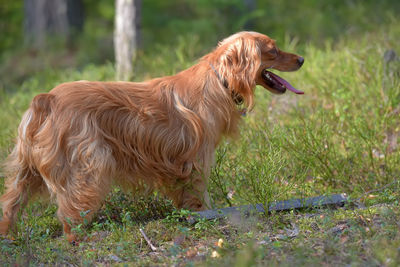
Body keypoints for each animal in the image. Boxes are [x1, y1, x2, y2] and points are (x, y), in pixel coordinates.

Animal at [0, 31, 304, 243]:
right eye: (273, 50)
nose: (301, 59)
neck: (219, 80)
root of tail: (47, 99)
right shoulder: (195, 161)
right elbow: (199, 197)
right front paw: (205, 218)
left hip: (25, 172)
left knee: (9, 204)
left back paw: (8, 236)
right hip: (89, 166)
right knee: (70, 215)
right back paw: (83, 237)